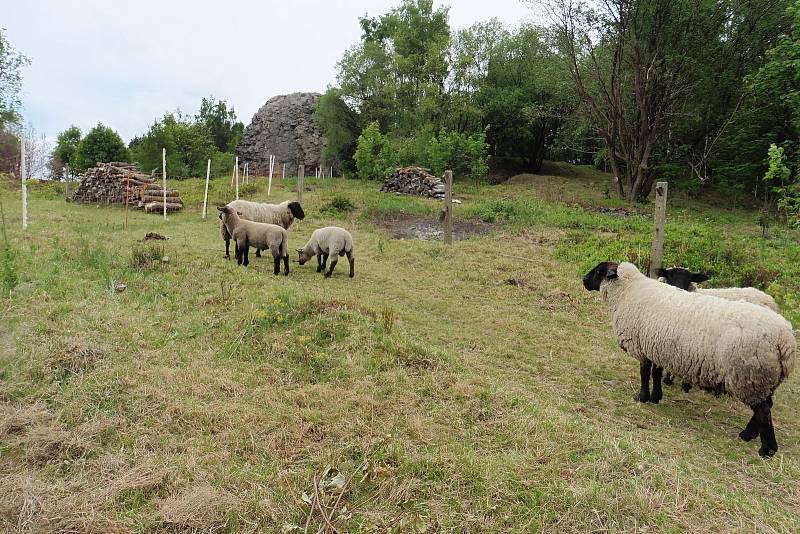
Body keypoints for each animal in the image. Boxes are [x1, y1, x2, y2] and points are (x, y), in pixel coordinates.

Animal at [584, 262, 796, 458]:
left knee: (763, 411)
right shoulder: (657, 347)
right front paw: (656, 397)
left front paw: (642, 397)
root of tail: (785, 340)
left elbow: (644, 373)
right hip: (764, 378)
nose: (583, 281)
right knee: (766, 406)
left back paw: (766, 449)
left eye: (598, 271)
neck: (628, 291)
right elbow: (656, 373)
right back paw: (748, 435)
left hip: (749, 375)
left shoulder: (641, 345)